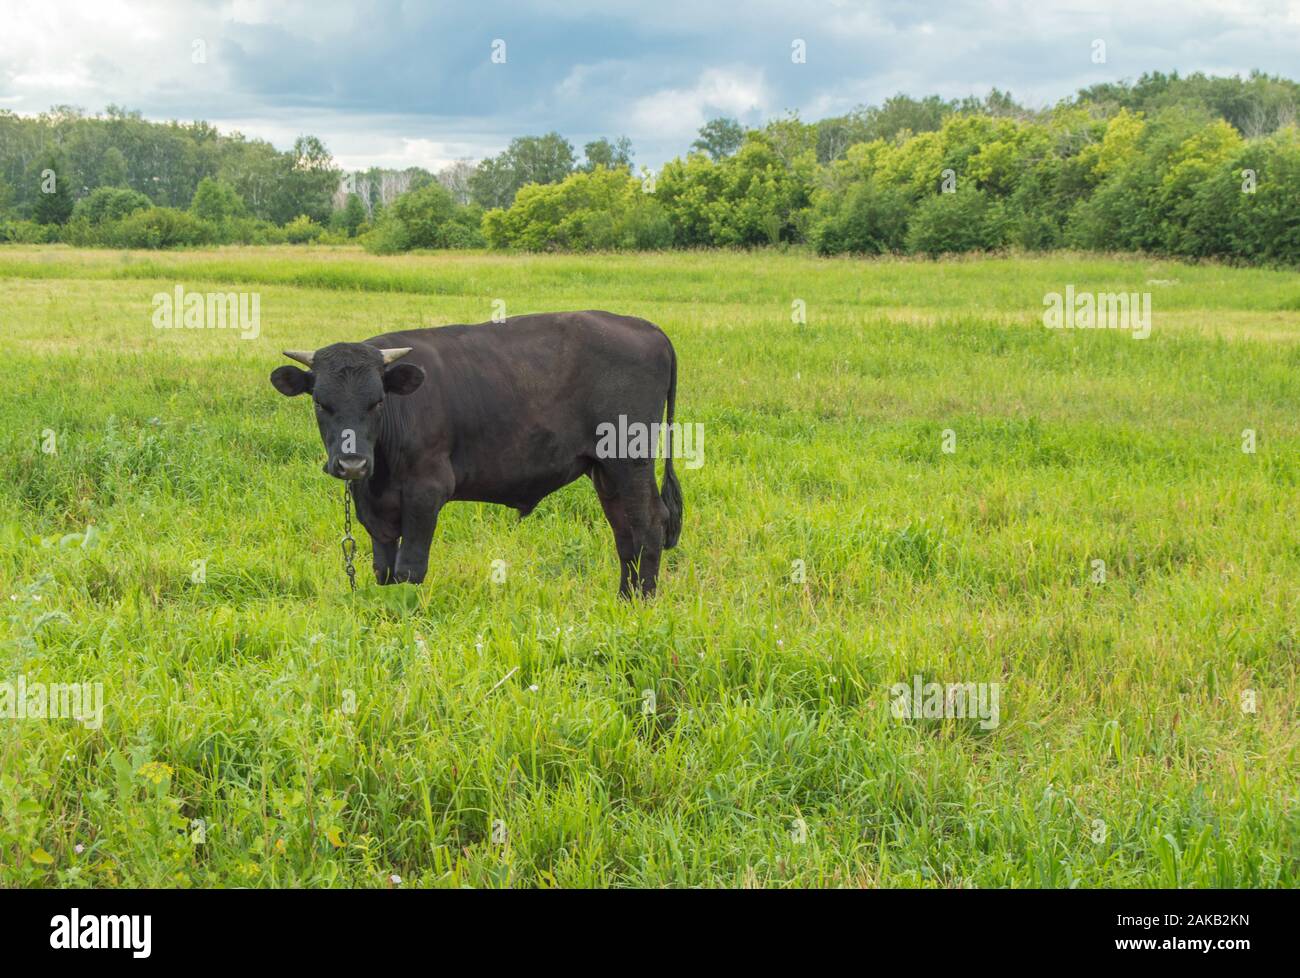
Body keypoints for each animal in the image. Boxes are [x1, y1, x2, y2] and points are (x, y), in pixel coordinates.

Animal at [269, 311, 682, 597]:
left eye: (377, 402)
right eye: (320, 403)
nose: (352, 463)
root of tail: (645, 327)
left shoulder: (426, 492)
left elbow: (410, 568)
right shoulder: (373, 507)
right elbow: (383, 570)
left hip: (630, 461)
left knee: (649, 524)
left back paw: (642, 601)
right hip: (605, 470)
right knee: (624, 532)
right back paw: (624, 599)